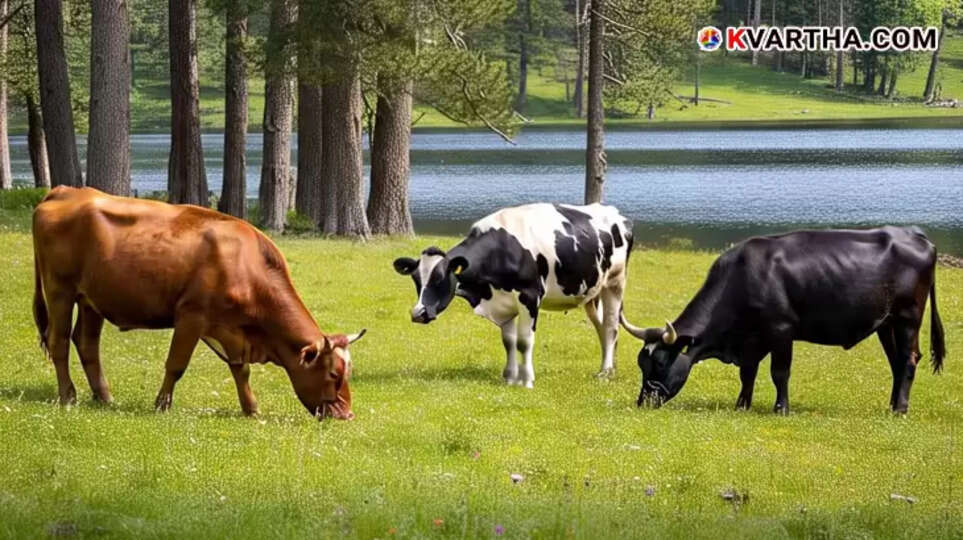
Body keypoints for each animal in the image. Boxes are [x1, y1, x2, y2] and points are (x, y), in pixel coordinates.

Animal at [32, 186, 365, 419]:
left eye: (347, 372)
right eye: (333, 374)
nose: (347, 415)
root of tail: (66, 191)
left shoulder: (232, 331)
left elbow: (241, 370)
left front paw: (251, 408)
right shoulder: (191, 316)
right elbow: (176, 364)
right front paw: (162, 405)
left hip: (91, 300)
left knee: (86, 343)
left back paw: (104, 397)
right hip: (60, 290)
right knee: (59, 341)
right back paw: (68, 396)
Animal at [393, 203, 637, 387]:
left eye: (439, 278)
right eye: (416, 280)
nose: (418, 313)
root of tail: (617, 214)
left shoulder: (530, 296)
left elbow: (524, 342)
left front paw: (526, 380)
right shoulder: (503, 302)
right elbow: (508, 342)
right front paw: (510, 377)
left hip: (615, 283)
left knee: (611, 327)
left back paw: (605, 372)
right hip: (591, 292)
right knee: (601, 328)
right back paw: (608, 368)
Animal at [621, 226, 946, 414]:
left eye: (661, 362)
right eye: (642, 363)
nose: (643, 402)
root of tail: (917, 236)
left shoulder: (781, 331)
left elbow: (779, 373)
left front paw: (781, 408)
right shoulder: (752, 340)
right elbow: (748, 373)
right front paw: (742, 405)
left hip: (907, 317)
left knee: (908, 359)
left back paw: (900, 409)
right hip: (885, 324)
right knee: (896, 362)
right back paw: (891, 405)